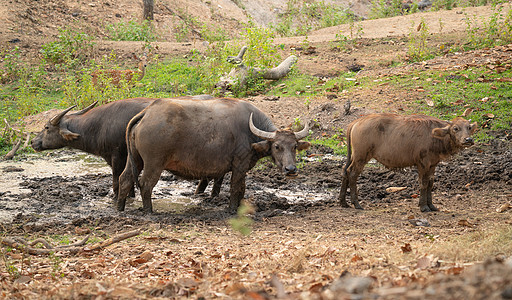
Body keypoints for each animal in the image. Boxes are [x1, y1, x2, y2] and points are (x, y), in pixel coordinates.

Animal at [117, 97, 310, 212]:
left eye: (294, 146)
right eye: (277, 146)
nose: (291, 169)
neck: (250, 131)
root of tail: (147, 113)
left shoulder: (243, 168)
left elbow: (242, 188)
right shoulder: (239, 165)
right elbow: (235, 188)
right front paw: (232, 210)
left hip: (135, 159)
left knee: (124, 179)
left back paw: (119, 208)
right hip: (153, 163)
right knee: (146, 184)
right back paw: (149, 211)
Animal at [338, 113, 478, 212]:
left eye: (469, 127)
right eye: (455, 128)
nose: (468, 140)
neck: (434, 136)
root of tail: (356, 122)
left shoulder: (433, 164)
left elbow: (430, 183)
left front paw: (432, 206)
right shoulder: (423, 164)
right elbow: (424, 183)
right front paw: (423, 207)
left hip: (354, 156)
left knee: (345, 171)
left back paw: (343, 202)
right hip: (361, 157)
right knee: (352, 174)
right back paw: (356, 203)